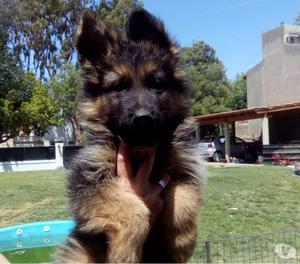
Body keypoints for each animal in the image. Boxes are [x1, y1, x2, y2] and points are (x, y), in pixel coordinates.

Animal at [54, 8, 204, 264]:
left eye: (156, 83)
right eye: (119, 87)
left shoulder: (183, 170)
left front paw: (183, 243)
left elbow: (184, 199)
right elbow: (131, 209)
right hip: (79, 253)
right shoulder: (89, 179)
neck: (139, 146)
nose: (143, 117)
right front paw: (124, 253)